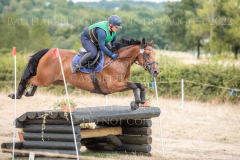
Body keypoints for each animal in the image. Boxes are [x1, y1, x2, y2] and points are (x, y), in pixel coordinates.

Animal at [8, 37, 159, 110]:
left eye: (154, 54)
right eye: (147, 54)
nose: (156, 71)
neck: (119, 61)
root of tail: (49, 51)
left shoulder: (122, 83)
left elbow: (140, 85)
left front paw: (141, 101)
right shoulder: (113, 86)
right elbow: (134, 86)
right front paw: (136, 103)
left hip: (55, 80)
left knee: (34, 81)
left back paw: (29, 92)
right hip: (45, 79)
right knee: (28, 79)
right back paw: (17, 94)